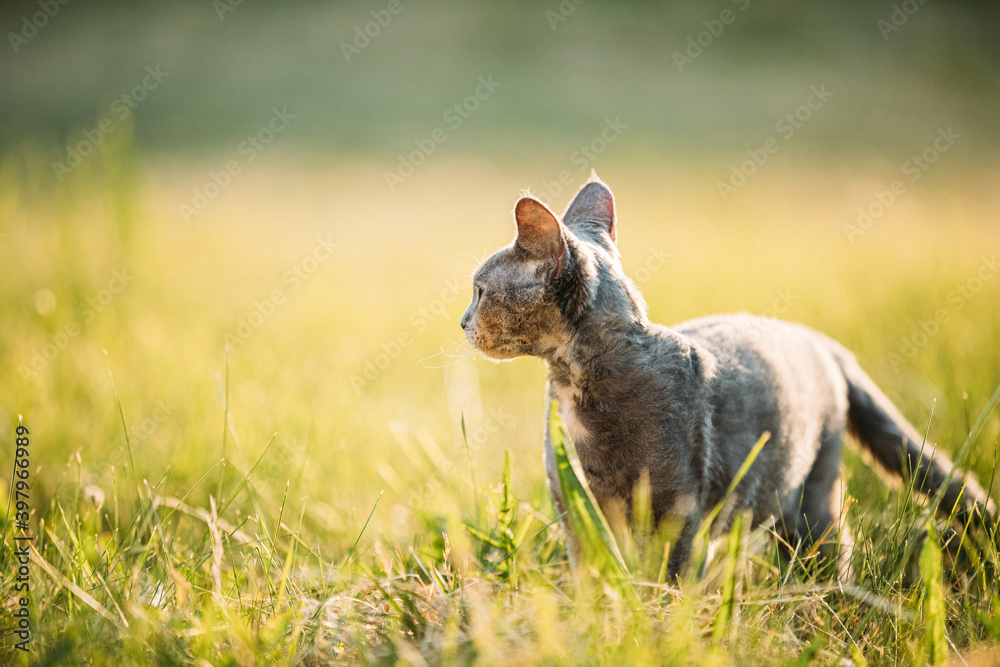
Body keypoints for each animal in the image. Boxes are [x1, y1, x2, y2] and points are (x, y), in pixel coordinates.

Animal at [464, 175, 996, 576]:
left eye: (480, 291)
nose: (463, 321)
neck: (573, 389)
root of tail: (823, 341)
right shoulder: (574, 505)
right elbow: (590, 570)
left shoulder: (673, 507)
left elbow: (665, 574)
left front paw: (655, 621)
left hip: (812, 490)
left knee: (828, 544)